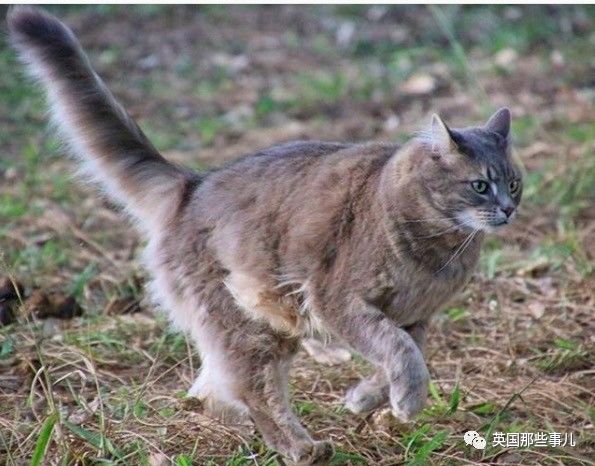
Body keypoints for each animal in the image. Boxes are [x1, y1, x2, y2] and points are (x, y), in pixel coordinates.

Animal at [8, 7, 523, 465]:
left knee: (211, 389)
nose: (507, 208)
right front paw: (404, 400)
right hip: (249, 323)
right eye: (480, 185)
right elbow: (400, 353)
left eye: (514, 182)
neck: (439, 252)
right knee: (252, 392)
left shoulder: (415, 318)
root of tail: (191, 185)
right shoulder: (344, 302)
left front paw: (365, 398)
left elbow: (407, 355)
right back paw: (299, 447)